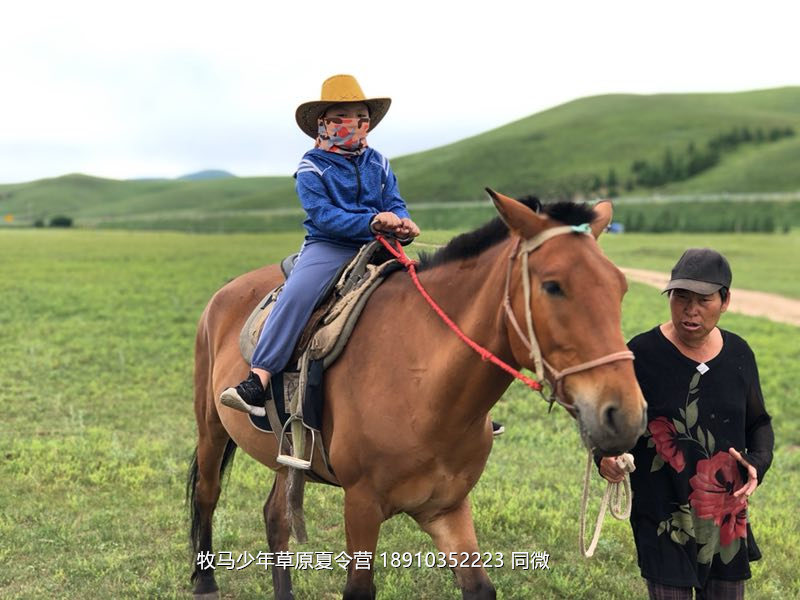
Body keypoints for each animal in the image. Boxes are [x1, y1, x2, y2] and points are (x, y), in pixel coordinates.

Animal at [189, 192, 648, 600]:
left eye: (620, 288)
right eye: (553, 286)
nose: (624, 414)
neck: (424, 387)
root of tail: (225, 294)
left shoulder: (446, 507)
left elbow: (479, 587)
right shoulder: (361, 505)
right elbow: (359, 589)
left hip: (288, 452)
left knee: (276, 517)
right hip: (211, 428)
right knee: (207, 493)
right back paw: (204, 581)